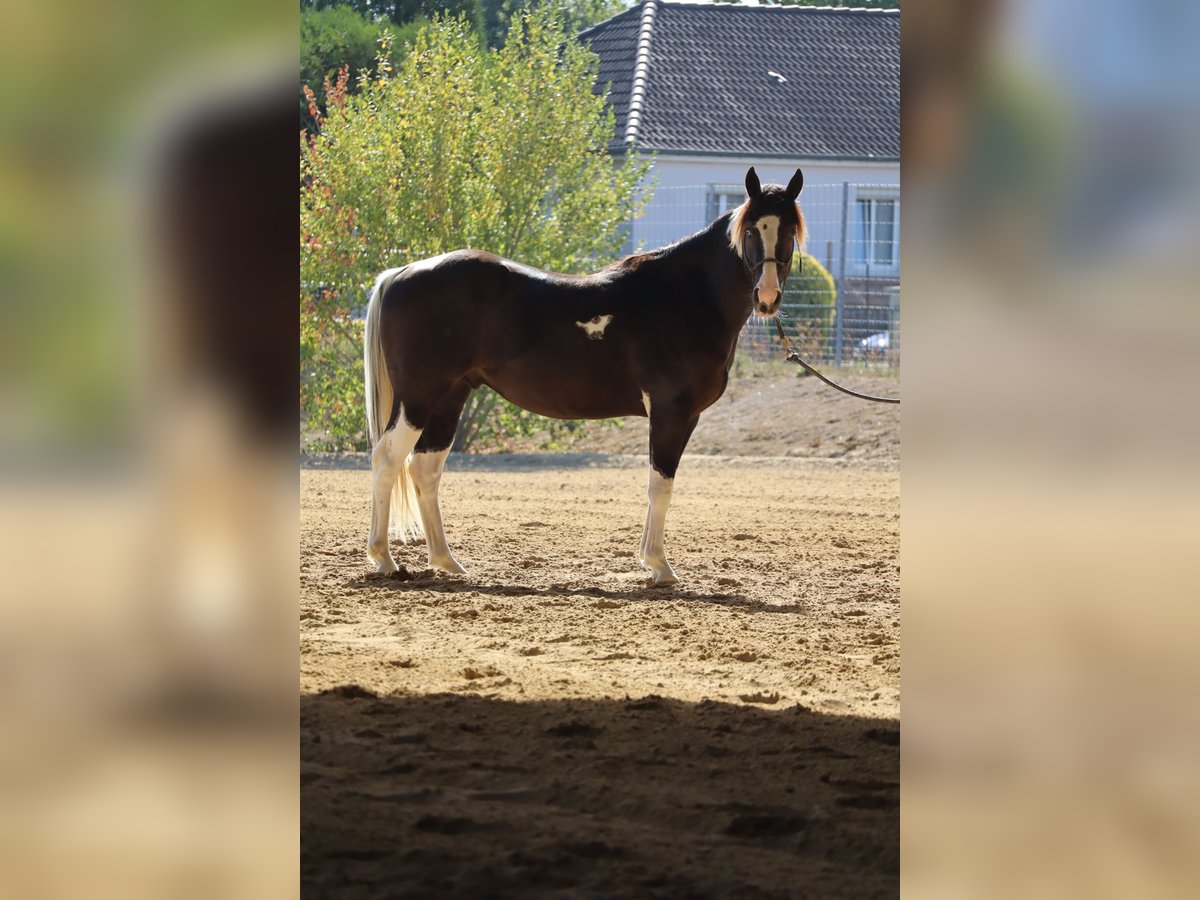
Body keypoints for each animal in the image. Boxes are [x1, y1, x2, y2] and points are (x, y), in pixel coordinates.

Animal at [363, 166, 806, 584]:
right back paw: (384, 559)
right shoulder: (670, 412)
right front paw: (658, 566)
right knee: (387, 460)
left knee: (424, 470)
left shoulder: (685, 417)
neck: (684, 296)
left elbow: (657, 485)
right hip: (418, 397)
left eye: (788, 232)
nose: (767, 298)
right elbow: (660, 485)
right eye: (750, 230)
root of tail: (402, 271)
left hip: (450, 397)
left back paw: (446, 561)